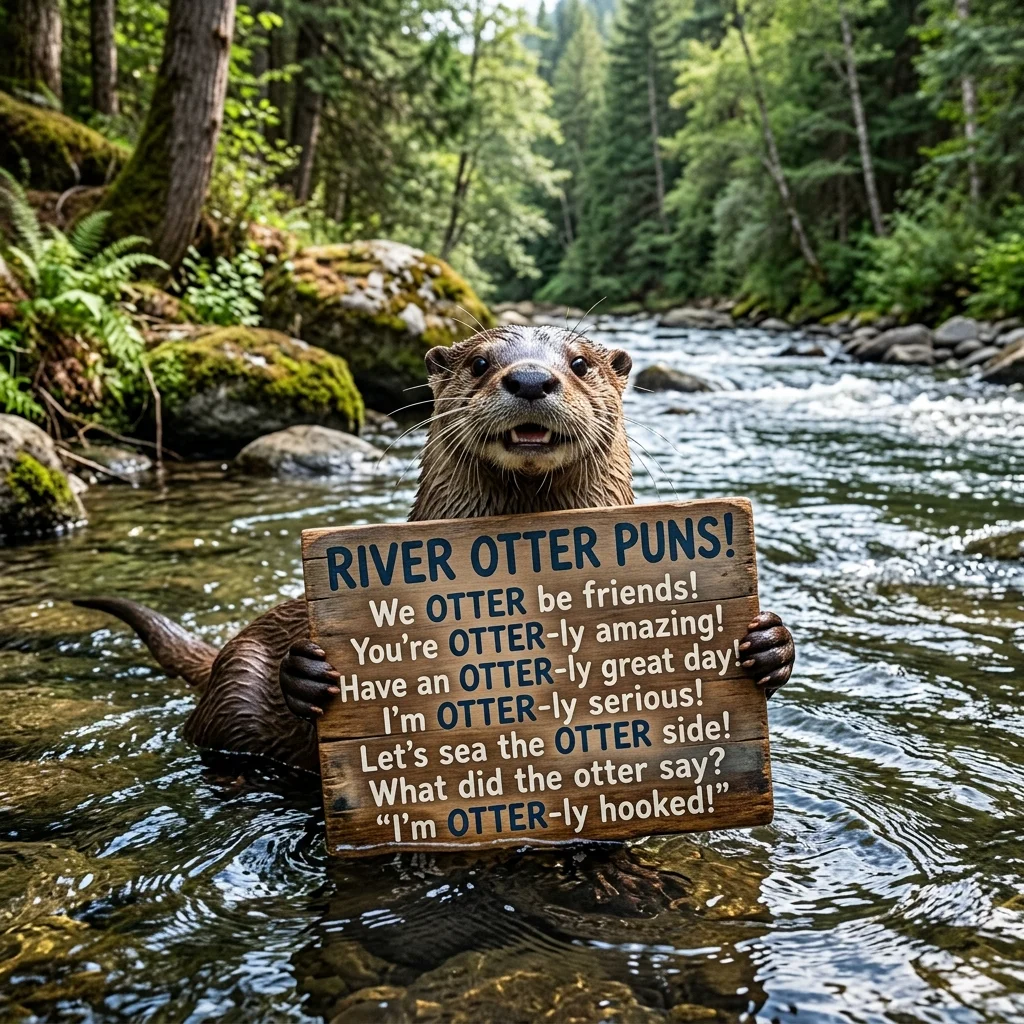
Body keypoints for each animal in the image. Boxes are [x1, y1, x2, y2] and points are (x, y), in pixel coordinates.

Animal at [76, 326, 795, 775]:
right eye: (480, 363)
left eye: (579, 364)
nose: (529, 378)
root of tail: (226, 647)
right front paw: (308, 671)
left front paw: (768, 645)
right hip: (232, 693)